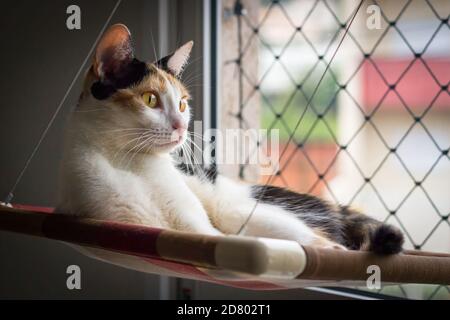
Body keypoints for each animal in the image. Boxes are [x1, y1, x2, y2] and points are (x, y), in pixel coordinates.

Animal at [57, 23, 404, 254]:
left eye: (182, 103)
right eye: (150, 99)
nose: (181, 125)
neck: (130, 164)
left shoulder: (201, 228)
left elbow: (211, 234)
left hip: (244, 212)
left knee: (326, 243)